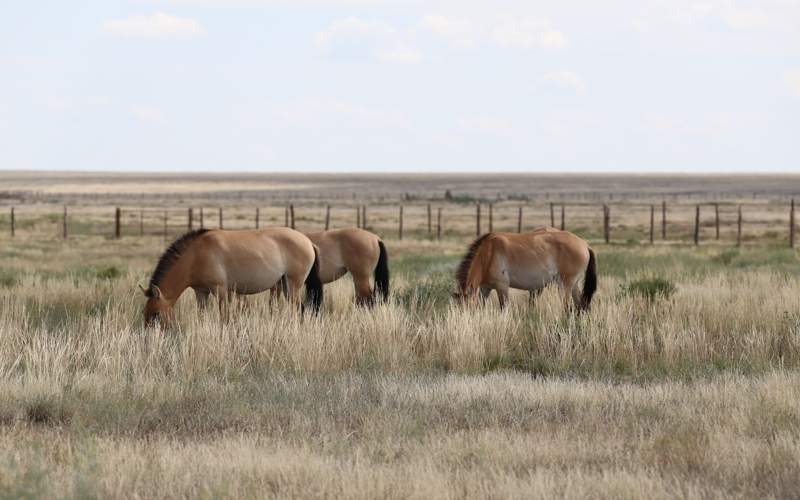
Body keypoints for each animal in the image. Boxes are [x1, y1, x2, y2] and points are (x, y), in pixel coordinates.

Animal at [141, 227, 322, 328]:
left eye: (157, 314)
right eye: (145, 313)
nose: (150, 340)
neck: (197, 254)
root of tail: (308, 242)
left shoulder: (220, 290)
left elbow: (224, 317)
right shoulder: (201, 292)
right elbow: (202, 315)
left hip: (293, 286)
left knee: (298, 309)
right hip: (283, 286)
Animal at [454, 228, 596, 312]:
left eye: (467, 308)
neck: (488, 253)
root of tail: (584, 244)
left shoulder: (502, 287)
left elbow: (504, 309)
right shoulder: (485, 288)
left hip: (565, 286)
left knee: (568, 308)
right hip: (573, 285)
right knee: (580, 306)